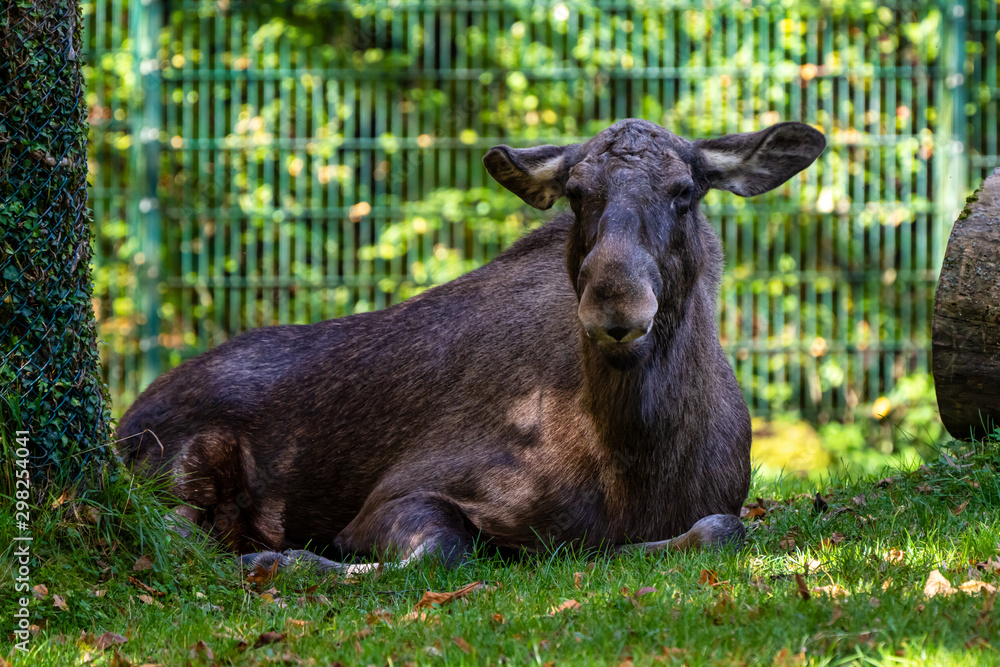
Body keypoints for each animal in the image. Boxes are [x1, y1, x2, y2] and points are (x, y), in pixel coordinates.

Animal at [117, 118, 824, 576]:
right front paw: (284, 560)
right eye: (575, 194)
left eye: (685, 192)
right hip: (173, 467)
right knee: (168, 532)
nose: (616, 303)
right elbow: (440, 555)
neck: (634, 456)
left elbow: (719, 529)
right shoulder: (395, 497)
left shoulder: (718, 505)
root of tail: (125, 414)